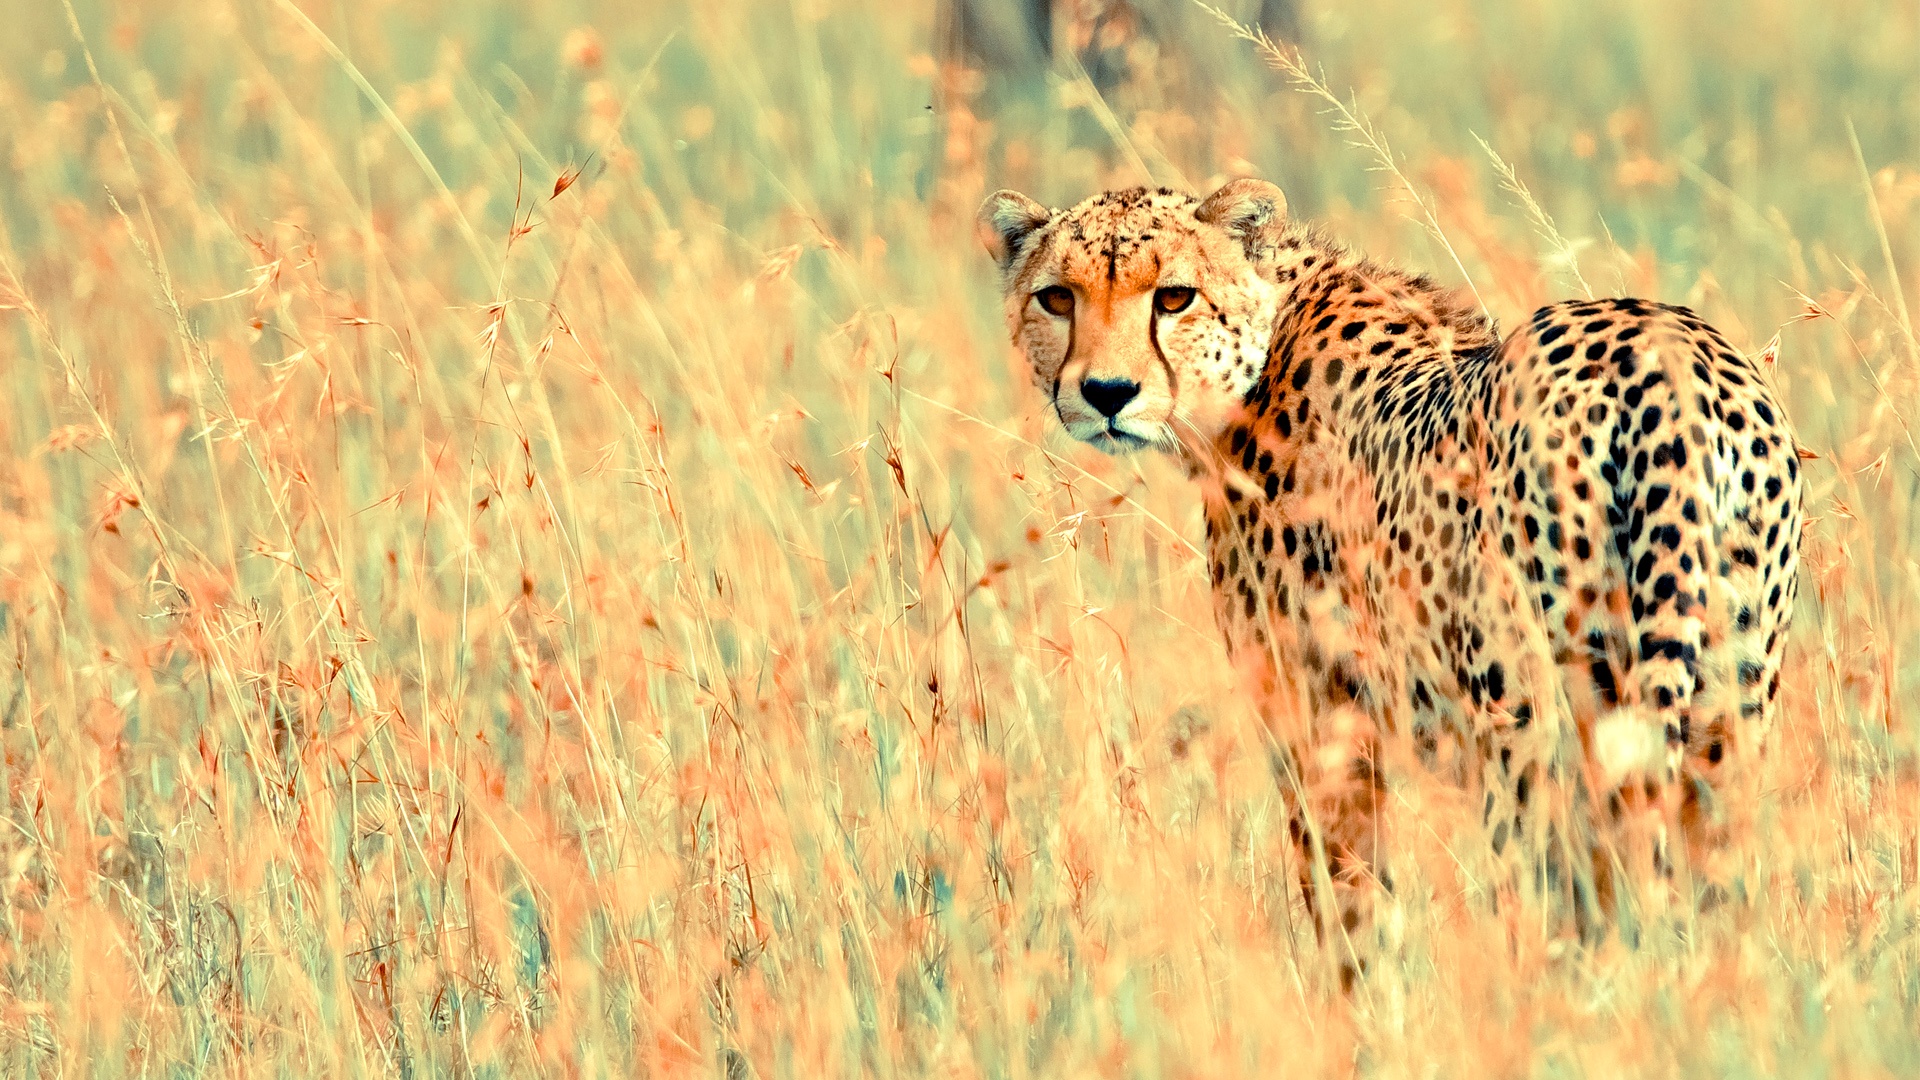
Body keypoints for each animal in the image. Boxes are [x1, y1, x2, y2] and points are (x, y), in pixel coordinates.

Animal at [976, 179, 1804, 972]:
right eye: (1058, 297)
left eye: (1174, 297)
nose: (1106, 394)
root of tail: (1668, 356)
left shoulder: (1322, 727)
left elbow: (1350, 911)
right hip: (1730, 705)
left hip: (1531, 719)